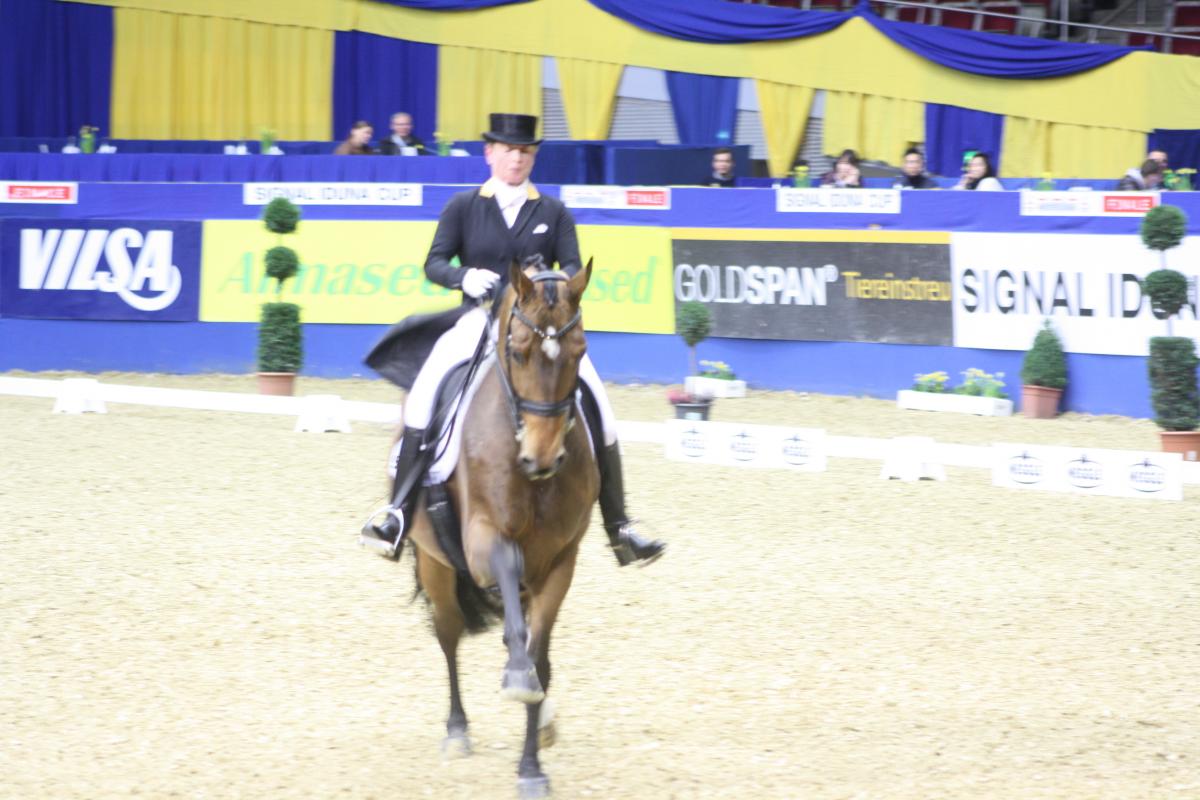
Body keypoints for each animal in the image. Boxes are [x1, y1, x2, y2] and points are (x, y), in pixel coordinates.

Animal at [408, 260, 600, 796]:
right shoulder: (482, 544)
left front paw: (531, 766)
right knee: (448, 633)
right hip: (435, 564)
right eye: (517, 350)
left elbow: (540, 660)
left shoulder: (560, 562)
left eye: (580, 352)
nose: (542, 458)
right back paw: (456, 731)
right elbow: (507, 581)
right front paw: (516, 677)